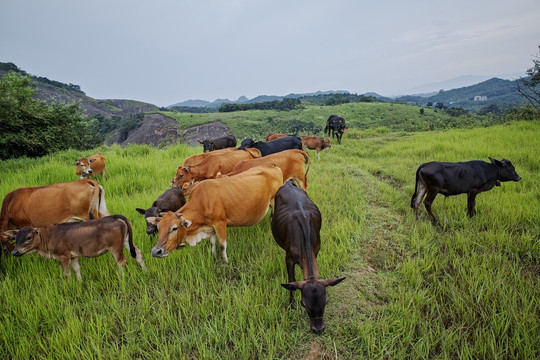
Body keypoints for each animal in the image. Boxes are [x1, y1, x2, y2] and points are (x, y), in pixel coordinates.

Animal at [10, 215, 146, 280]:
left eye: (28, 237)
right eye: (16, 239)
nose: (15, 251)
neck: (49, 236)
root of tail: (115, 217)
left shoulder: (63, 257)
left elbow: (67, 274)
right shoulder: (74, 255)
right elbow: (77, 269)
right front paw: (80, 283)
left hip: (116, 247)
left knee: (121, 262)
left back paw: (121, 278)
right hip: (126, 241)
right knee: (138, 253)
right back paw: (146, 271)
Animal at [150, 165, 282, 262]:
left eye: (174, 228)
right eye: (158, 228)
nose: (155, 251)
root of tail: (273, 166)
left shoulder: (220, 224)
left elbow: (222, 245)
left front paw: (225, 262)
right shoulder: (210, 227)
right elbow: (212, 243)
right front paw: (213, 256)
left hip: (275, 201)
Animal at [270, 181, 346, 334]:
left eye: (326, 302)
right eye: (304, 304)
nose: (318, 329)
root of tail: (288, 183)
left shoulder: (316, 250)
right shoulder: (289, 258)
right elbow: (291, 281)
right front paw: (291, 306)